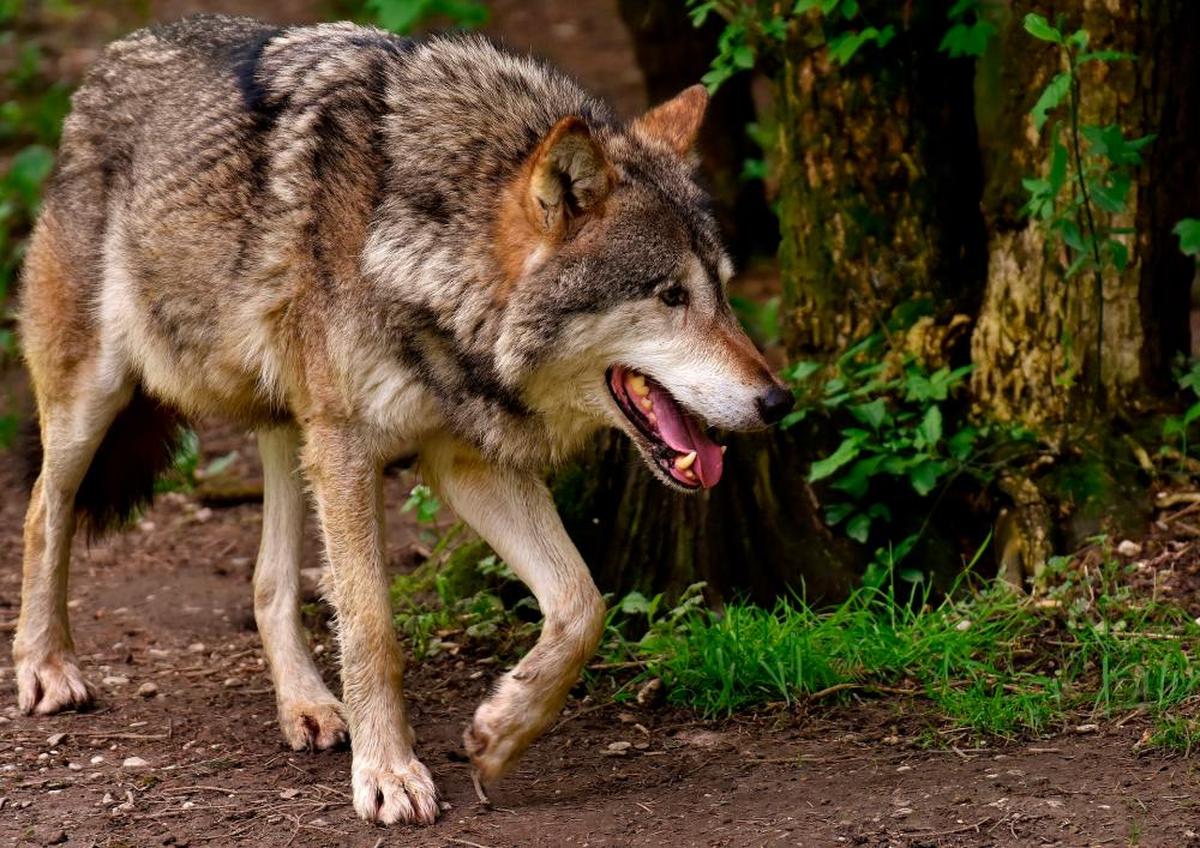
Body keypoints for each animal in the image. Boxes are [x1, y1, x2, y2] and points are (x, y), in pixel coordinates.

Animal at [14, 11, 796, 820]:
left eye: (724, 291)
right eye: (671, 295)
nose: (779, 400)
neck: (425, 251)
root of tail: (112, 58)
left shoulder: (465, 460)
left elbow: (583, 606)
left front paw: (501, 733)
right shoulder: (352, 450)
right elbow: (372, 628)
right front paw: (388, 774)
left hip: (292, 430)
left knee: (268, 583)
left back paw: (308, 707)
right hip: (97, 401)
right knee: (44, 511)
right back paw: (46, 667)